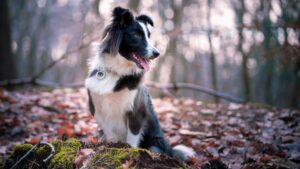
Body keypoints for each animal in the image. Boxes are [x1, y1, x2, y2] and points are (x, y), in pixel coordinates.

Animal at [84, 6, 195, 161]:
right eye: (136, 35)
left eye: (148, 35)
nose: (157, 53)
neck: (117, 72)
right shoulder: (97, 109)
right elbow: (110, 133)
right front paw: (111, 148)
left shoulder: (136, 111)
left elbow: (132, 139)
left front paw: (128, 152)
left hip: (155, 145)